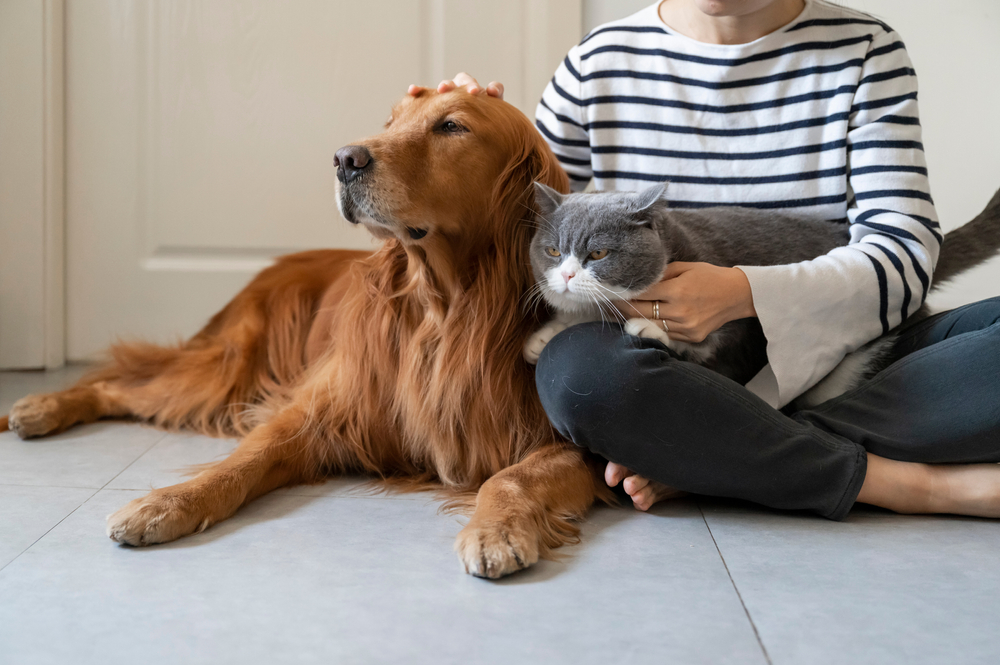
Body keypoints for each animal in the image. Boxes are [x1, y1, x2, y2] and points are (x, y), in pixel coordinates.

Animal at [1, 87, 608, 576]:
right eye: (390, 121)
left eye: (452, 126)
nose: (344, 158)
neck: (445, 308)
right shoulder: (317, 411)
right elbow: (241, 461)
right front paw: (167, 502)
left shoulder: (574, 448)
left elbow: (508, 478)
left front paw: (494, 529)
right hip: (227, 368)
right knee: (121, 382)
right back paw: (38, 407)